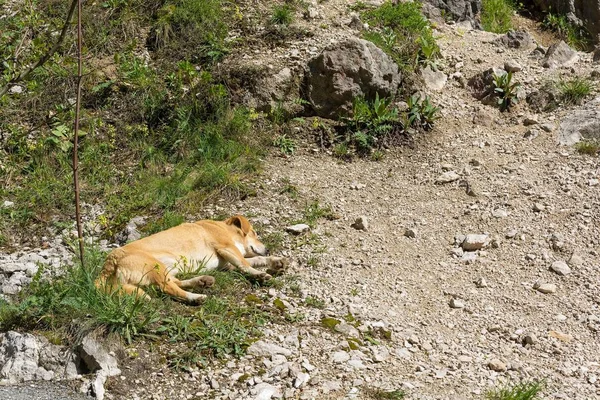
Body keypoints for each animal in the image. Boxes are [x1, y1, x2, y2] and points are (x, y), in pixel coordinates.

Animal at [95, 216, 288, 304]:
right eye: (254, 233)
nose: (268, 248)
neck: (223, 227)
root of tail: (108, 263)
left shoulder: (227, 265)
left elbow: (255, 260)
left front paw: (274, 261)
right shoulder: (227, 248)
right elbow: (246, 263)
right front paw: (259, 274)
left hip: (164, 270)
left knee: (174, 283)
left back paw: (202, 281)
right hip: (154, 265)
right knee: (169, 289)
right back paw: (196, 297)